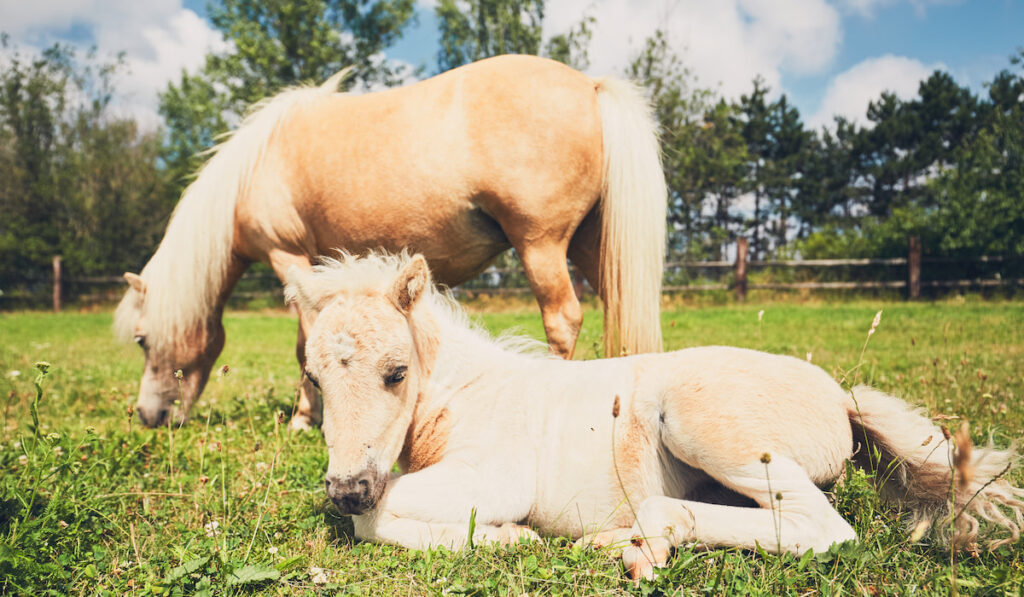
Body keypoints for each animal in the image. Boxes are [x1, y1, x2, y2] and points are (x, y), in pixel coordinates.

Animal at [116, 54, 667, 430]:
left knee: (562, 319)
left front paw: (303, 418)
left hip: (541, 245)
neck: (255, 168)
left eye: (142, 339)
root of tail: (590, 86)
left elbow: (304, 341)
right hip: (592, 248)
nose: (147, 415)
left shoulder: (288, 258)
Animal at [284, 250, 1024, 577]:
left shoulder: (493, 477)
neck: (465, 394)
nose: (346, 487)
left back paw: (645, 539)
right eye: (314, 379)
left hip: (704, 425)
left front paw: (506, 537)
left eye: (396, 372)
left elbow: (374, 522)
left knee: (821, 528)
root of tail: (842, 396)